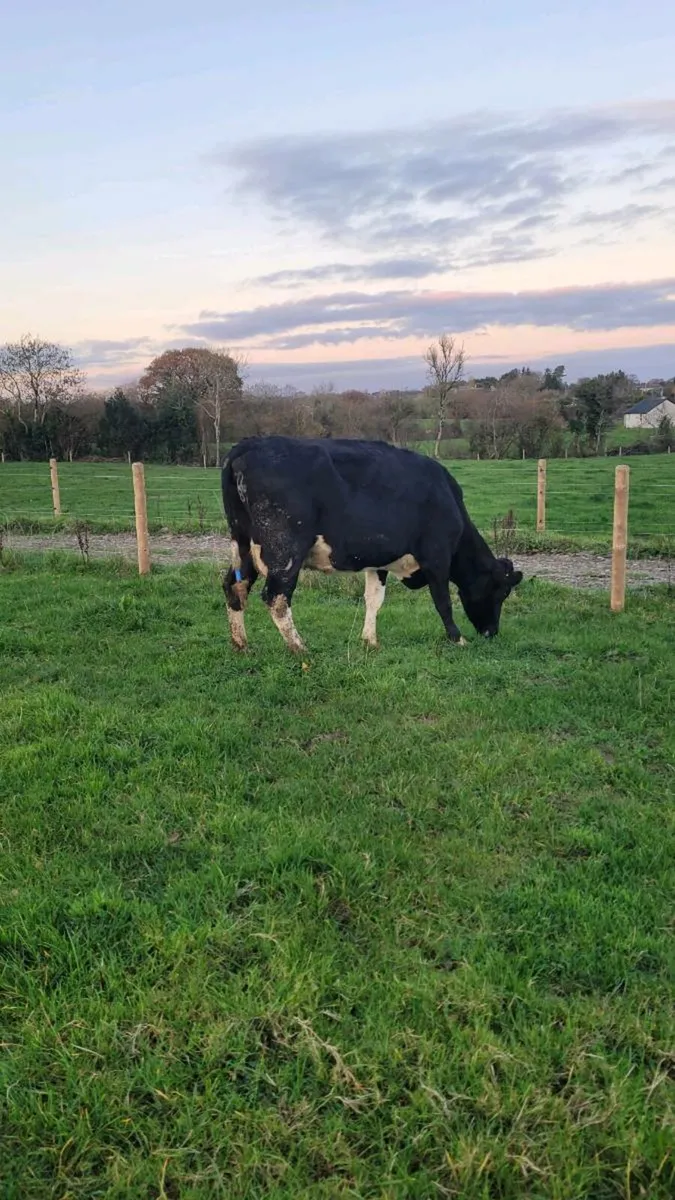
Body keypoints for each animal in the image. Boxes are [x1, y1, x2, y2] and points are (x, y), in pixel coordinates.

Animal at [221, 435, 523, 653]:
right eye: (501, 591)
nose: (492, 632)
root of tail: (248, 445)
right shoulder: (436, 556)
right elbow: (443, 601)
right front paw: (457, 638)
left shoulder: (379, 561)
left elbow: (374, 599)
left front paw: (369, 640)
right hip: (285, 549)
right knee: (276, 597)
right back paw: (299, 648)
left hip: (243, 543)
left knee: (234, 586)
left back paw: (241, 644)